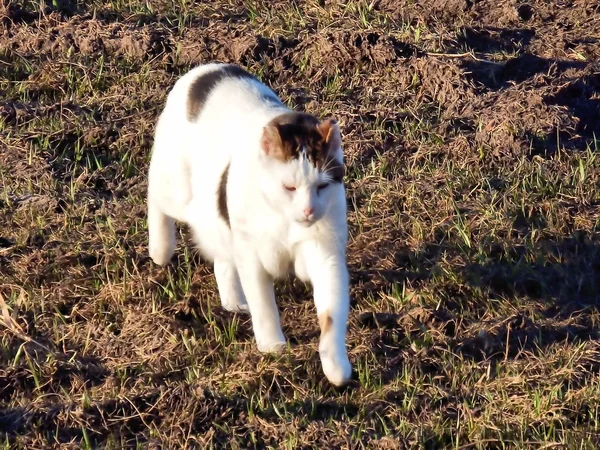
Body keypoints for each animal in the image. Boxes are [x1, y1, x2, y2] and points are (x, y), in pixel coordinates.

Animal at [146, 63, 352, 386]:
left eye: (321, 186)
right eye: (289, 187)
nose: (308, 210)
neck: (283, 219)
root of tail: (207, 68)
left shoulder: (324, 254)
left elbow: (331, 313)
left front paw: (335, 365)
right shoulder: (252, 256)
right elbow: (264, 304)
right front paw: (272, 346)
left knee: (222, 260)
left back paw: (233, 301)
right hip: (177, 192)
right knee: (154, 196)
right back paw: (160, 249)